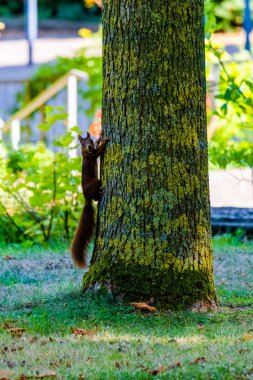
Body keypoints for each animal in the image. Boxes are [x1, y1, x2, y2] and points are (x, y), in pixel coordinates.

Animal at [70, 133, 108, 268]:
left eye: (90, 140)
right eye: (82, 143)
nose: (90, 146)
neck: (86, 152)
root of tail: (86, 197)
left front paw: (99, 138)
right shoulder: (91, 155)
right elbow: (98, 151)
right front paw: (104, 141)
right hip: (95, 182)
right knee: (95, 196)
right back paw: (100, 194)